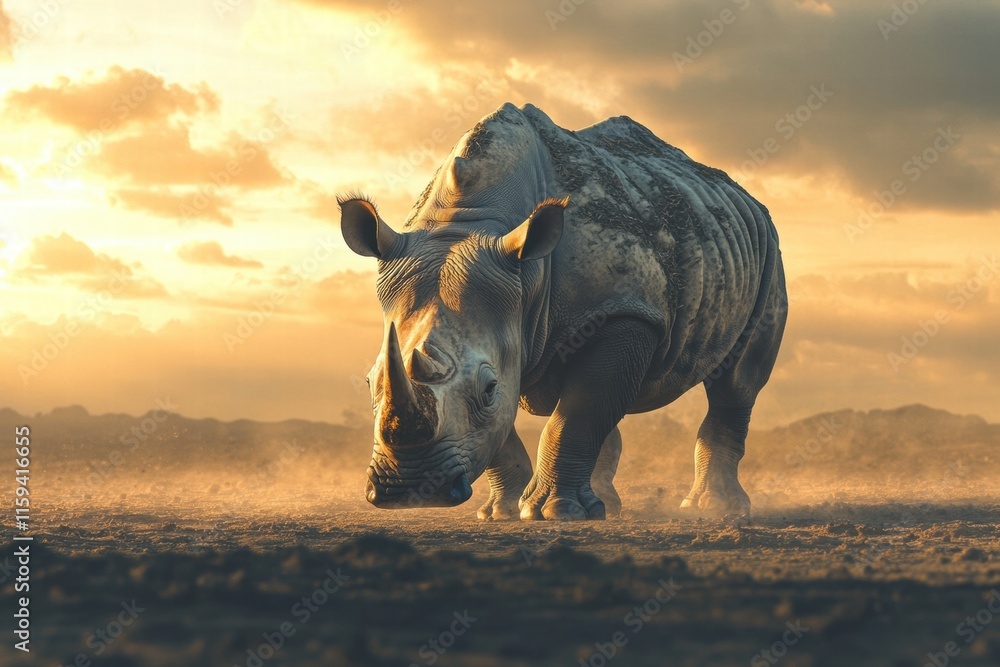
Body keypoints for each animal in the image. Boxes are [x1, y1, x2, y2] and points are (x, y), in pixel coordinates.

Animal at [339, 103, 786, 520]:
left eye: (487, 388)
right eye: (369, 383)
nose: (410, 490)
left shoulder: (622, 309)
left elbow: (576, 414)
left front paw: (552, 513)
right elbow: (515, 429)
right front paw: (503, 512)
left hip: (766, 250)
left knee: (737, 383)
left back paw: (713, 509)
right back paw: (607, 506)